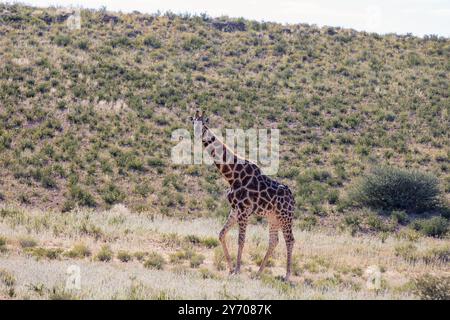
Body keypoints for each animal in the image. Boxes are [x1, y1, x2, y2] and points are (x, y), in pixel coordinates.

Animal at [189, 111, 296, 282]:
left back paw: (286, 276)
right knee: (274, 241)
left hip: (285, 216)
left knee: (290, 240)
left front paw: (238, 270)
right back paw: (258, 273)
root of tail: (293, 199)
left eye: (204, 125)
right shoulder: (235, 209)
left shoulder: (244, 211)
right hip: (273, 217)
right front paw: (231, 268)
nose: (199, 135)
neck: (232, 176)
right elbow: (221, 234)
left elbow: (241, 239)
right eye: (193, 123)